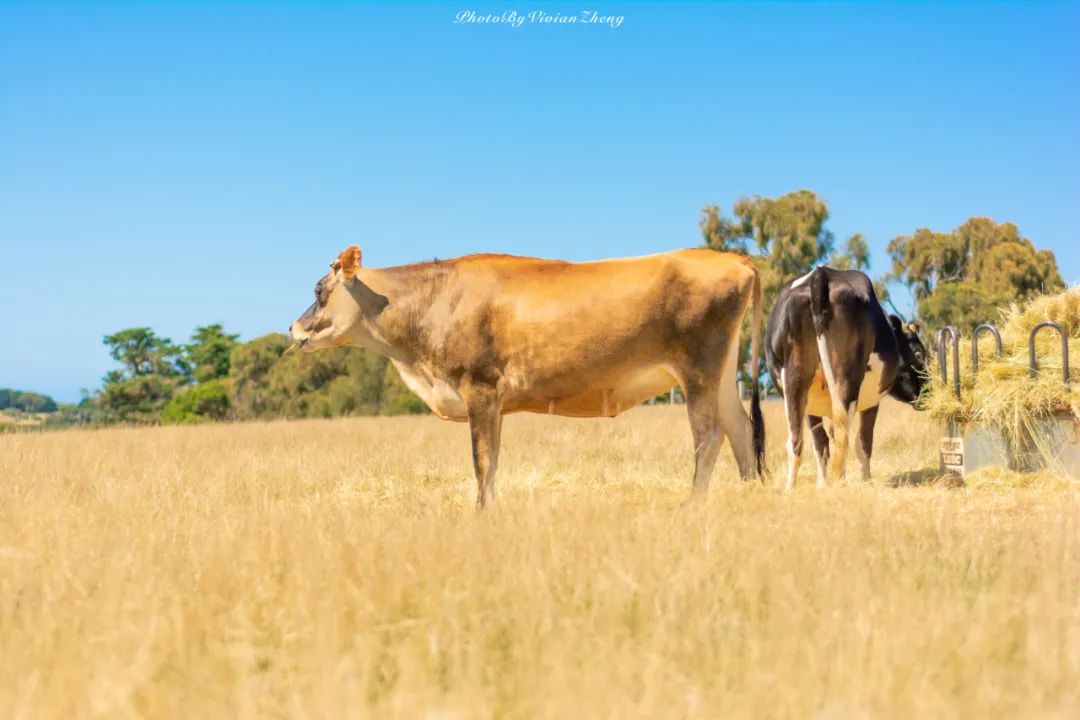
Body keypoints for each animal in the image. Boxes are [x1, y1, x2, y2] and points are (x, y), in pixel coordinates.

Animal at [287, 248, 760, 507]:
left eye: (319, 291)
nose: (293, 328)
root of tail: (729, 258)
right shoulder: (493, 403)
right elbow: (493, 461)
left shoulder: (480, 388)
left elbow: (481, 462)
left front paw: (481, 513)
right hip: (721, 374)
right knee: (741, 428)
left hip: (699, 369)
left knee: (709, 435)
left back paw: (693, 503)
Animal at [760, 264, 928, 490]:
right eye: (919, 354)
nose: (927, 393)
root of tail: (820, 273)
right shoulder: (872, 400)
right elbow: (863, 442)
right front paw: (866, 482)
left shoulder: (813, 406)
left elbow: (821, 442)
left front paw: (822, 485)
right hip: (847, 380)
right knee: (843, 435)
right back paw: (840, 484)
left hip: (795, 377)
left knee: (798, 441)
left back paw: (791, 489)